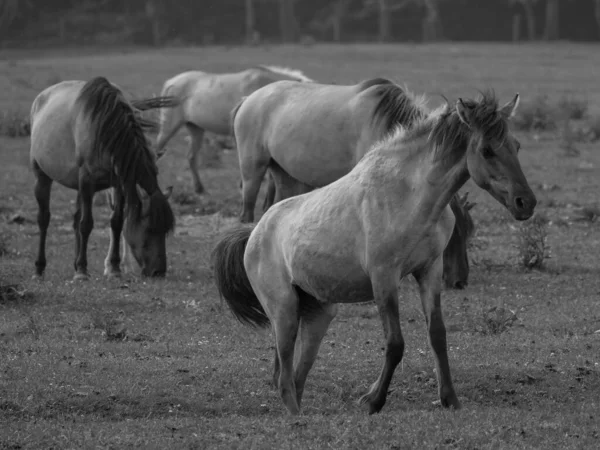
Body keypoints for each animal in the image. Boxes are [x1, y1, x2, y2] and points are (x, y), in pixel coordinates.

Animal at [29, 78, 176, 282]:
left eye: (165, 230)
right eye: (148, 229)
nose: (158, 272)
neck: (106, 128)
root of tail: (40, 98)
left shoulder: (119, 183)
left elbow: (116, 222)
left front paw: (113, 268)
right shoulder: (87, 181)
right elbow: (86, 224)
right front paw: (82, 271)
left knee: (75, 219)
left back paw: (75, 264)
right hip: (42, 176)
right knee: (44, 219)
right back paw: (39, 269)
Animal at [155, 64, 314, 193]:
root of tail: (170, 82)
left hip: (195, 128)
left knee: (191, 157)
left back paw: (199, 188)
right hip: (169, 127)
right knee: (158, 149)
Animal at [234, 77, 478, 288]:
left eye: (468, 232)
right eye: (453, 236)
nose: (460, 281)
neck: (382, 122)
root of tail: (249, 99)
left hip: (284, 174)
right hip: (253, 169)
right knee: (247, 211)